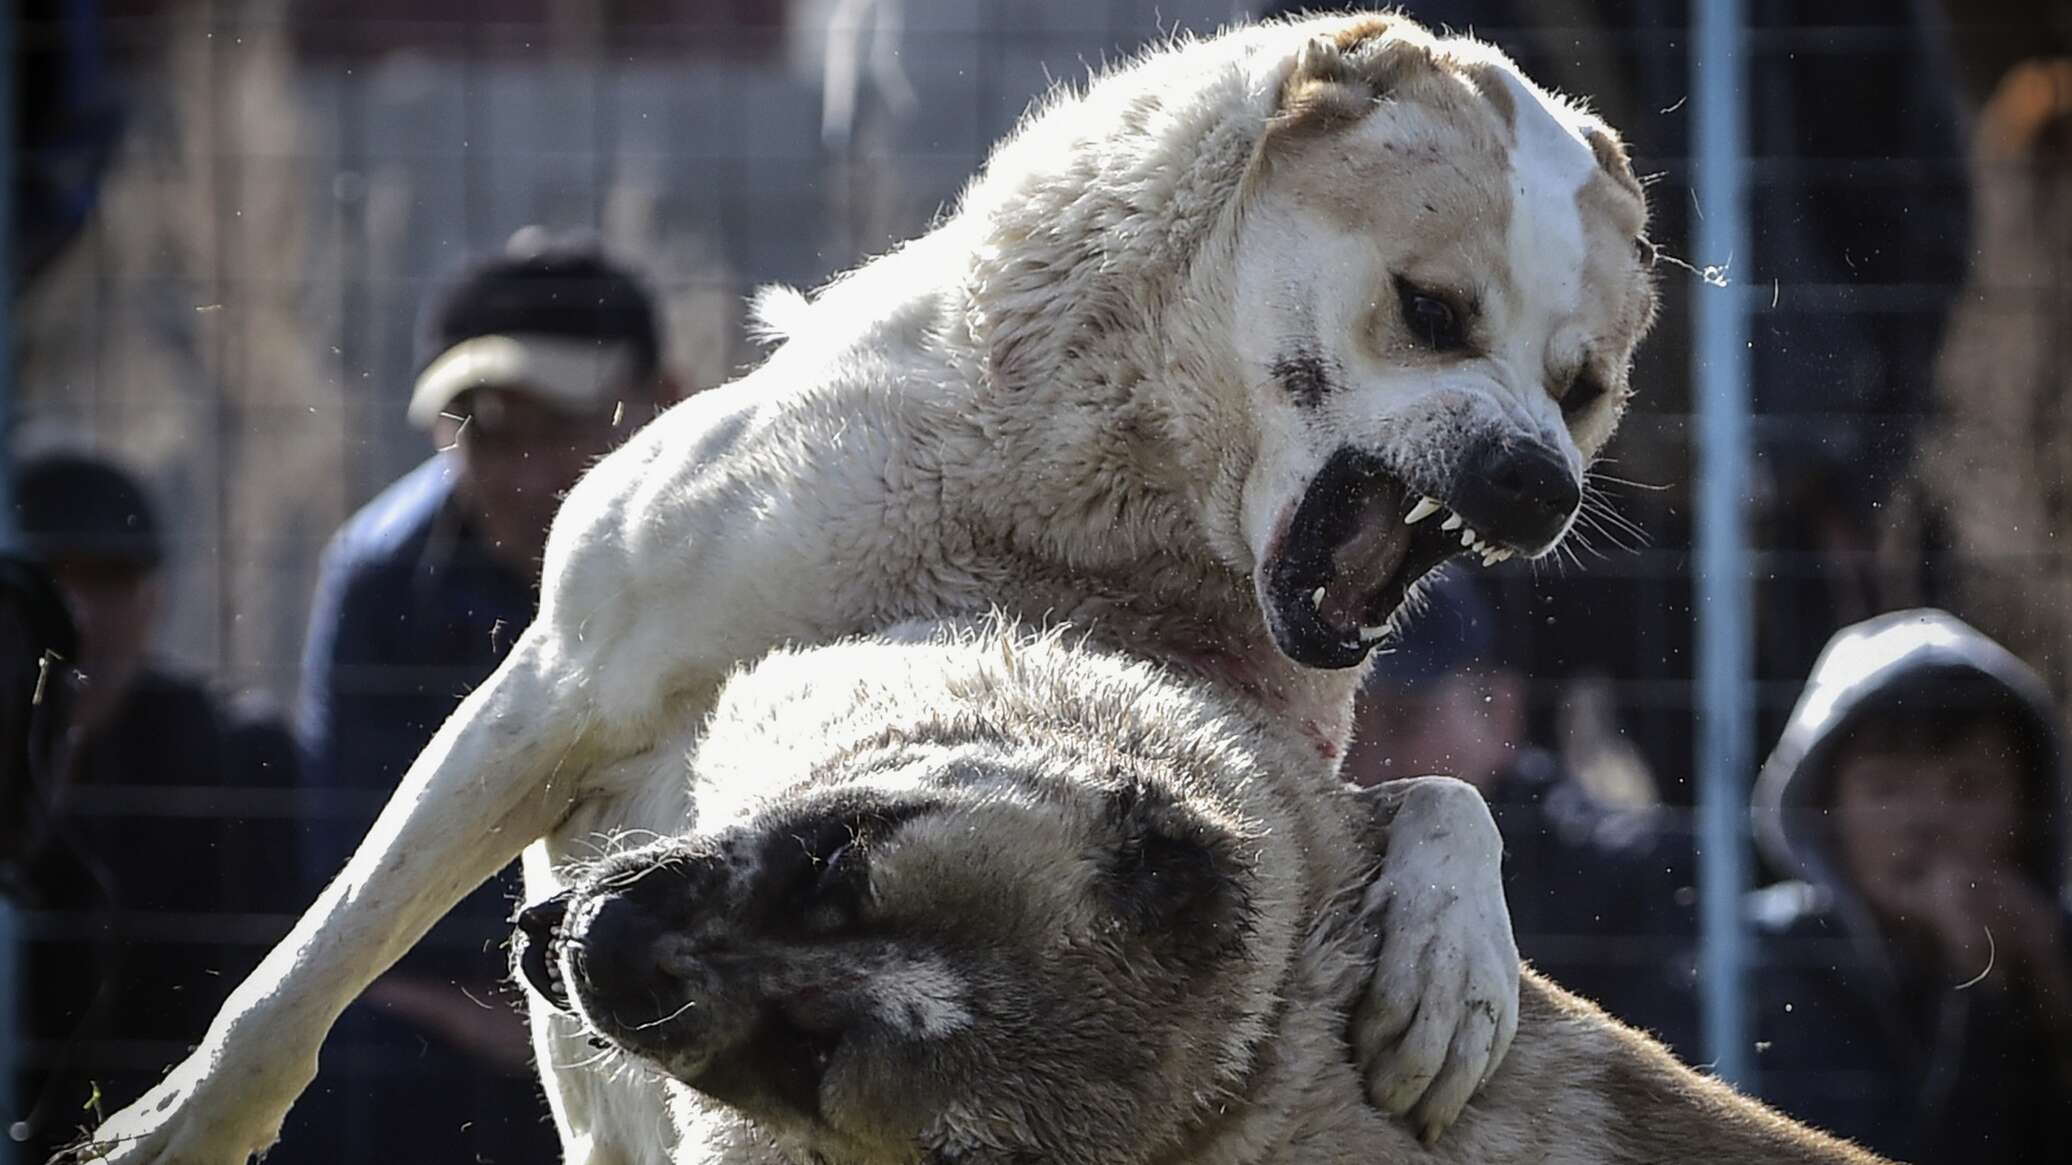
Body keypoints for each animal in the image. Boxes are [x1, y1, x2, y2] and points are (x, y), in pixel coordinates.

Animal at [80, 11, 1657, 1160]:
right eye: (1431, 311)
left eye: (1583, 390)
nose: (1535, 485)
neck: (1084, 519)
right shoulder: (551, 698)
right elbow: (312, 964)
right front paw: (176, 1128)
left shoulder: (1209, 776)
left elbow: (1441, 800)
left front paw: (1454, 964)